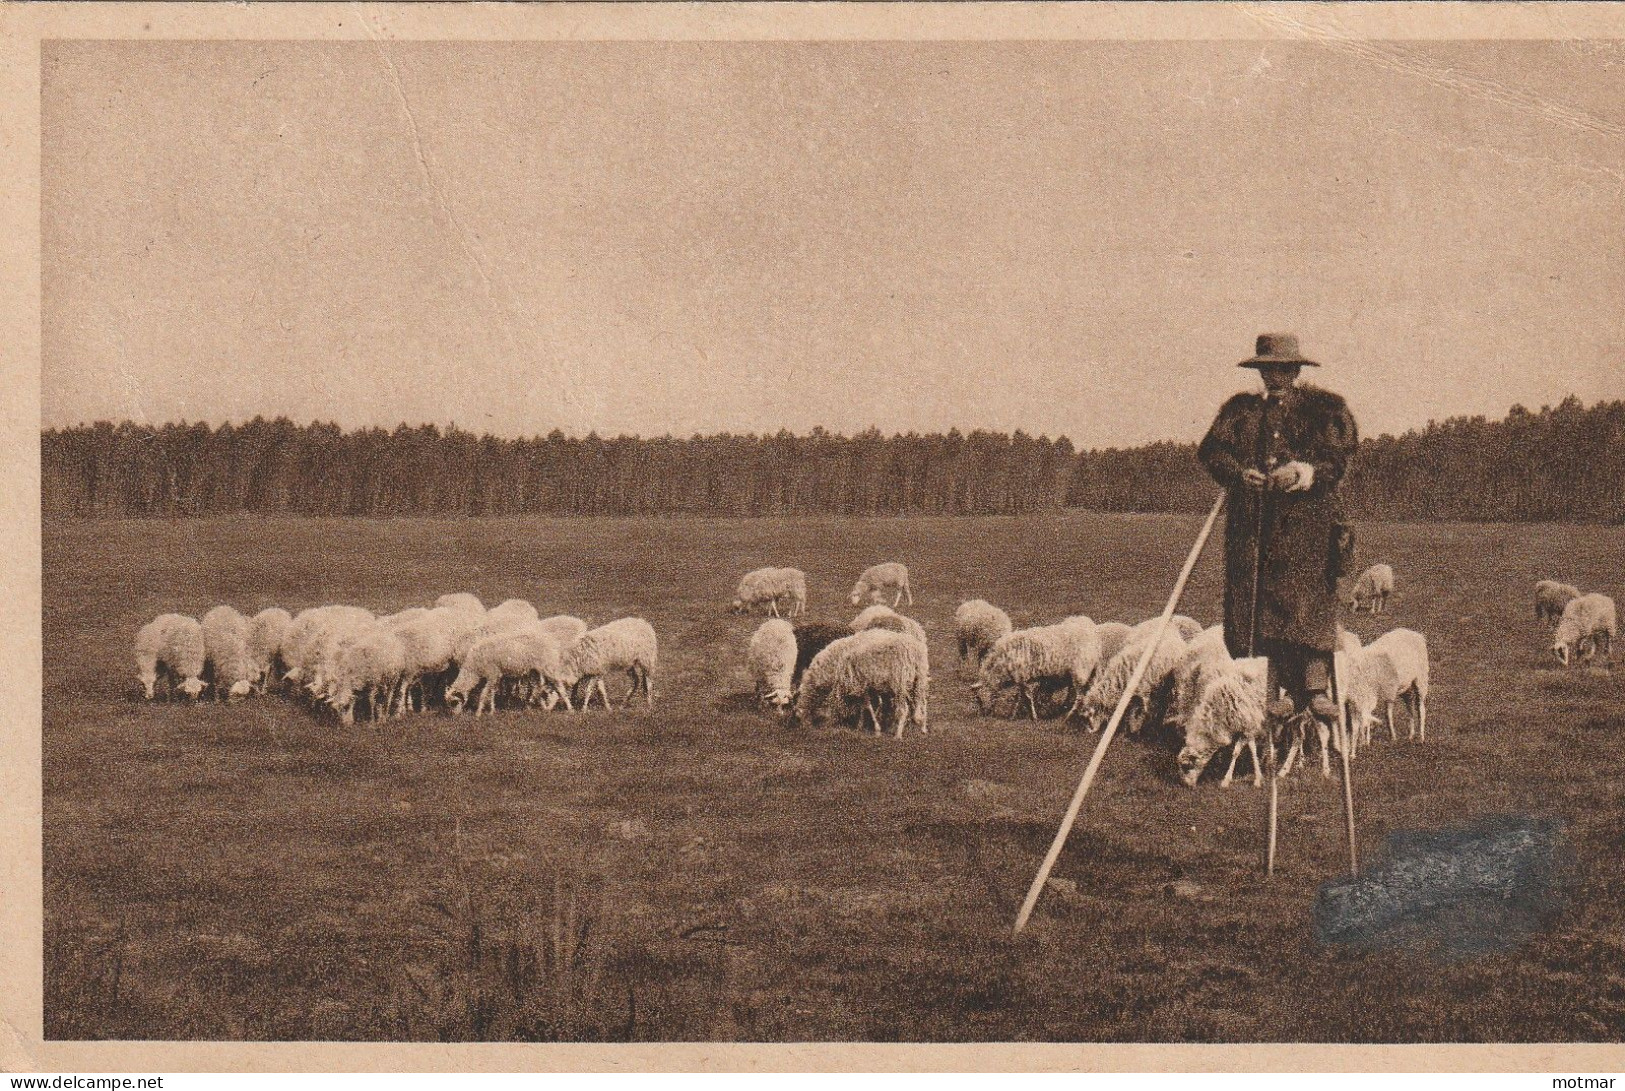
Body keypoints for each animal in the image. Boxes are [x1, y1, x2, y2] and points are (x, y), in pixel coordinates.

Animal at [968, 617, 1111, 721]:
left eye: (979, 699)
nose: (984, 714)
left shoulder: (1023, 677)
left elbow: (1027, 697)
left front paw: (1033, 717)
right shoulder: (1021, 679)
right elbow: (1019, 698)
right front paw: (1014, 714)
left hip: (1080, 671)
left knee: (1079, 696)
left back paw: (1068, 715)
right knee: (1074, 692)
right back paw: (1064, 708)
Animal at [1183, 653, 1267, 790]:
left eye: (1186, 767)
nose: (1186, 785)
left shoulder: (1249, 726)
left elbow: (1252, 750)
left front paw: (1258, 780)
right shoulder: (1243, 727)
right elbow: (1236, 752)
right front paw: (1226, 780)